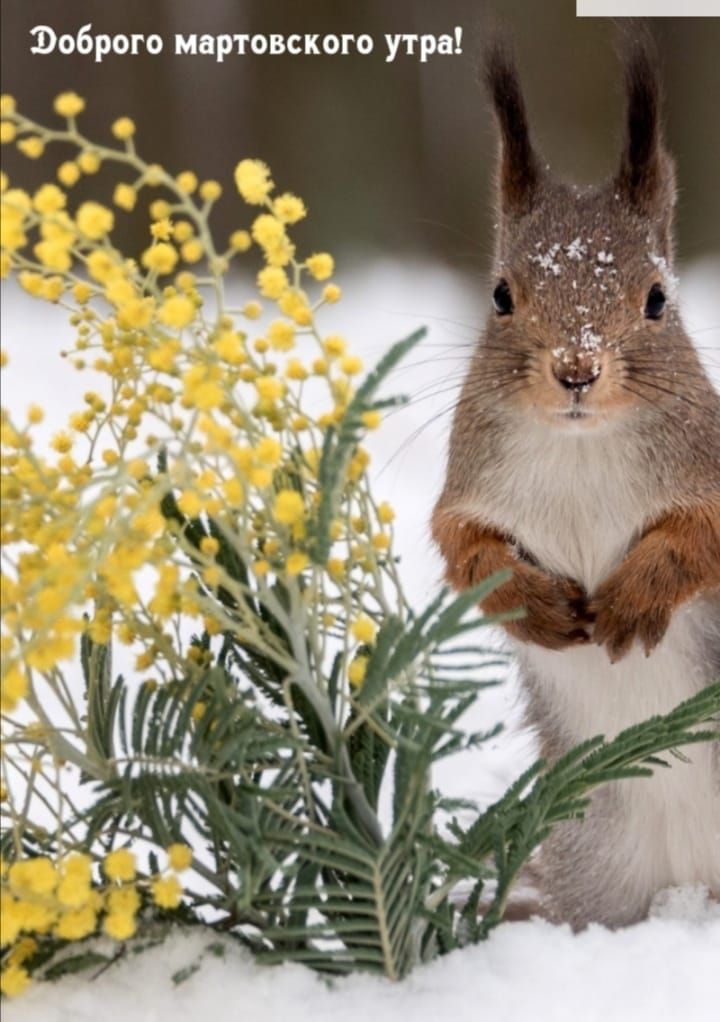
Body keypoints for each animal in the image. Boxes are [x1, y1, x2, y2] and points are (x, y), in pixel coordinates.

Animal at [428, 31, 714, 932]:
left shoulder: (711, 473)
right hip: (596, 857)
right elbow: (464, 549)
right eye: (500, 295)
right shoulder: (468, 488)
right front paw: (536, 604)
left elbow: (700, 539)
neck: (582, 447)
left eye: (658, 298)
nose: (577, 370)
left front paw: (634, 596)